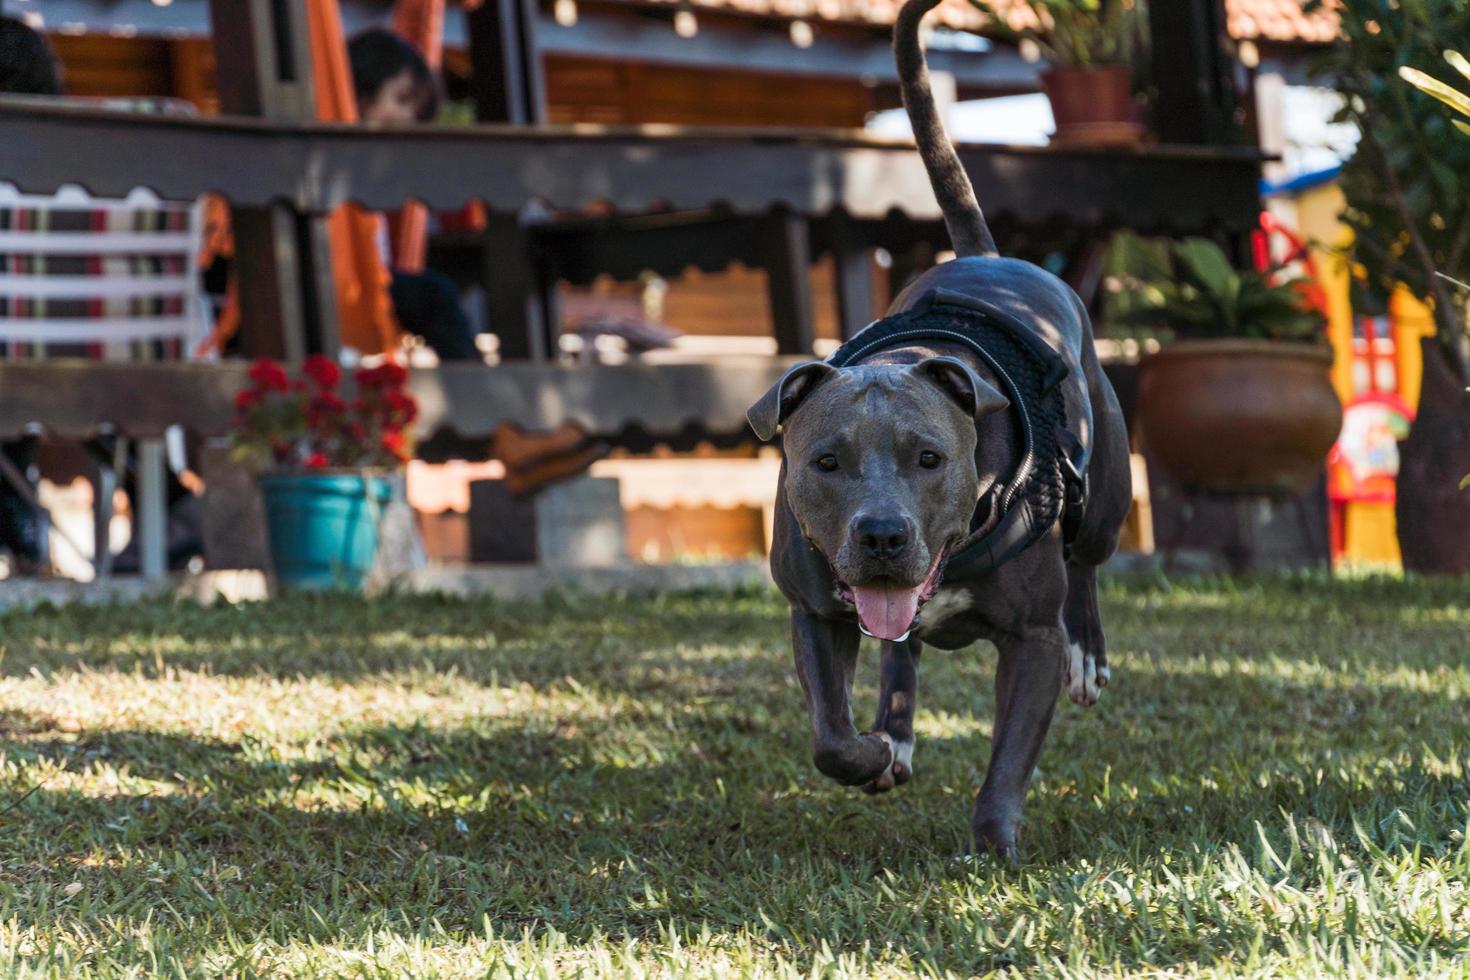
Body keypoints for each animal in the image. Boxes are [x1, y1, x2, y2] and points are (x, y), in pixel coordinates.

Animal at [752, 0, 1128, 858]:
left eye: (929, 458)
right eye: (825, 461)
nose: (884, 535)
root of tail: (993, 258)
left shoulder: (1031, 639)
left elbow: (1009, 759)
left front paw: (993, 847)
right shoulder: (815, 609)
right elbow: (830, 734)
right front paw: (870, 754)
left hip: (1107, 494)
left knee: (1089, 561)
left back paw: (1089, 655)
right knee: (903, 655)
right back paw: (894, 731)